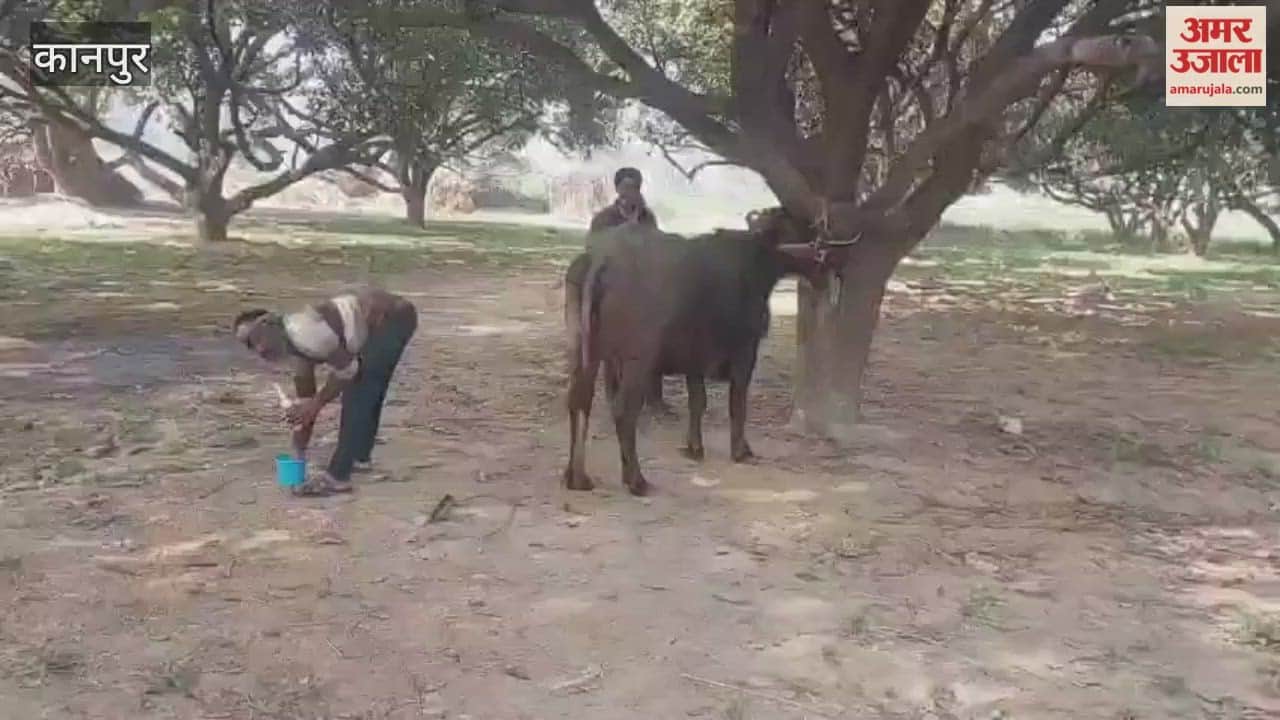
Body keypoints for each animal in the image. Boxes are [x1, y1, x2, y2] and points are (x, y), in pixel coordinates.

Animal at [562, 207, 825, 496]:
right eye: (799, 225)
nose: (824, 253)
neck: (753, 263)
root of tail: (602, 258)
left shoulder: (694, 360)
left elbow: (698, 402)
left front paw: (694, 447)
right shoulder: (745, 351)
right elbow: (738, 403)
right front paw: (741, 451)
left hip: (585, 351)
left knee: (578, 401)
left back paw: (577, 477)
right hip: (637, 360)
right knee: (623, 410)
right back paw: (636, 480)